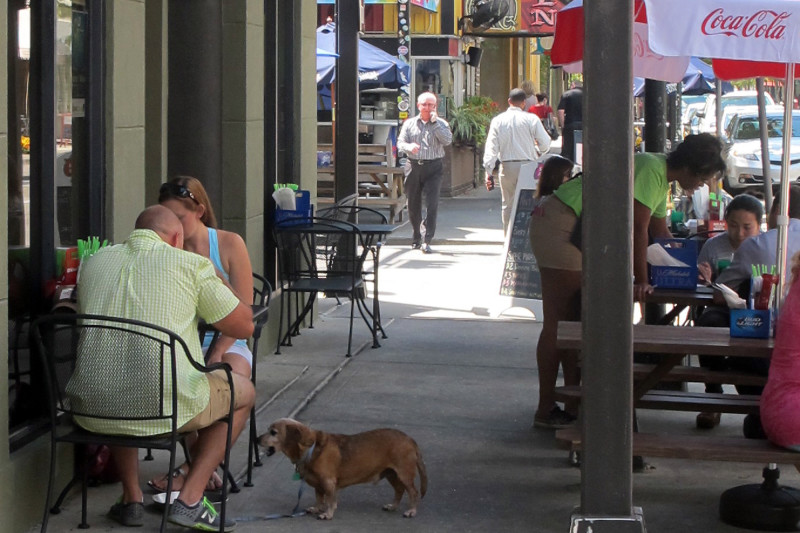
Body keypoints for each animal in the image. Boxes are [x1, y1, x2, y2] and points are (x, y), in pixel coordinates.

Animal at [260, 418, 428, 516]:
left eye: (273, 432)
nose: (256, 439)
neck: (311, 448)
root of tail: (410, 439)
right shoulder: (318, 485)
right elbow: (319, 498)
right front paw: (316, 508)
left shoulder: (328, 482)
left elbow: (330, 500)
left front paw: (327, 514)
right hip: (391, 474)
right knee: (399, 490)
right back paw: (393, 506)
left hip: (404, 474)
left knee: (413, 492)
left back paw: (411, 511)